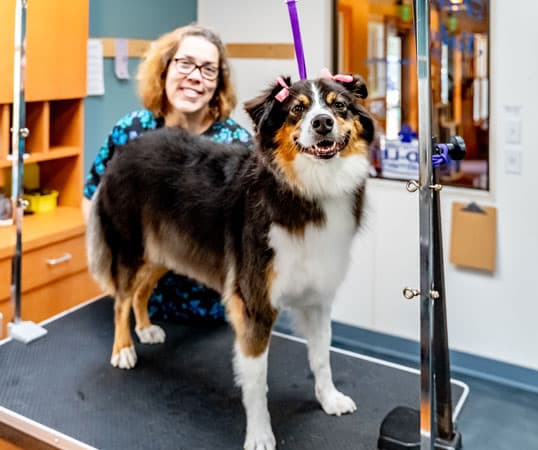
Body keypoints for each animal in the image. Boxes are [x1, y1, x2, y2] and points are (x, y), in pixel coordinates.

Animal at [87, 74, 372, 450]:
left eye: (339, 105)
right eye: (297, 110)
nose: (322, 123)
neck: (304, 189)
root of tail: (124, 150)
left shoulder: (317, 298)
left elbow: (321, 357)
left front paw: (329, 398)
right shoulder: (254, 302)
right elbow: (255, 382)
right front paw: (260, 434)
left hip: (166, 248)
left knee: (140, 292)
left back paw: (145, 329)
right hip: (132, 245)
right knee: (121, 299)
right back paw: (123, 349)